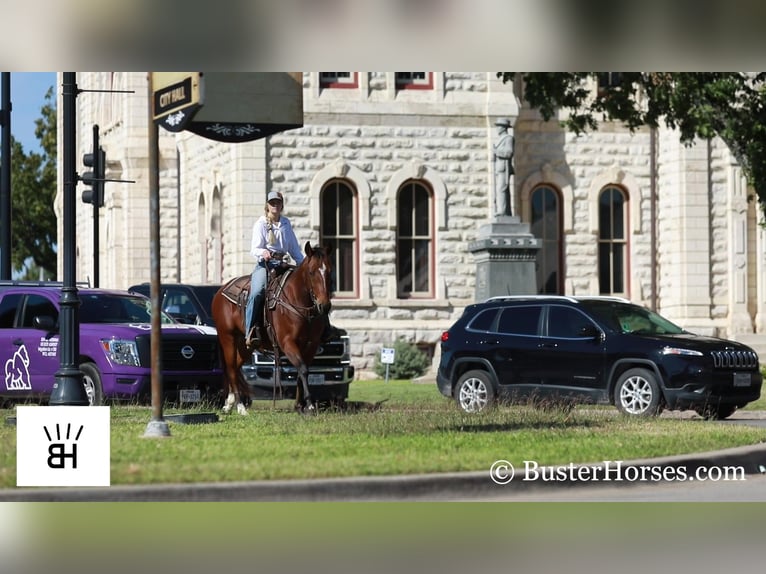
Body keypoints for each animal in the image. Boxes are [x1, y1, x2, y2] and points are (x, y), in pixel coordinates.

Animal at [212, 241, 334, 416]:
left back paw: (229, 404)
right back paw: (240, 406)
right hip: (227, 337)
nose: (324, 306)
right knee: (231, 368)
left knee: (235, 367)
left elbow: (301, 372)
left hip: (245, 345)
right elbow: (303, 369)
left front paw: (300, 406)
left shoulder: (311, 345)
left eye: (330, 272)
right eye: (311, 272)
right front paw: (310, 406)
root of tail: (221, 291)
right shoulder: (287, 342)